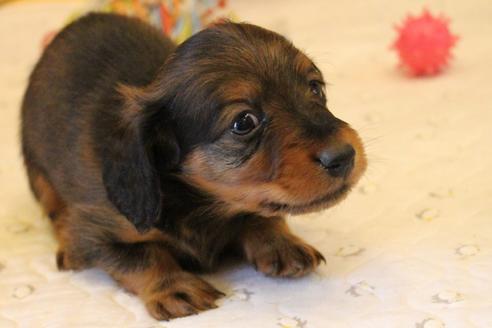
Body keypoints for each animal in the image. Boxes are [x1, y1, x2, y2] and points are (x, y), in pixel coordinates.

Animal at [21, 13, 366, 320]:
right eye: (244, 122)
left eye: (315, 87)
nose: (344, 155)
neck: (200, 203)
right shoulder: (97, 231)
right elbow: (142, 255)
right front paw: (174, 286)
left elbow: (258, 215)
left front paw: (282, 242)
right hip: (37, 171)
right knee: (54, 210)